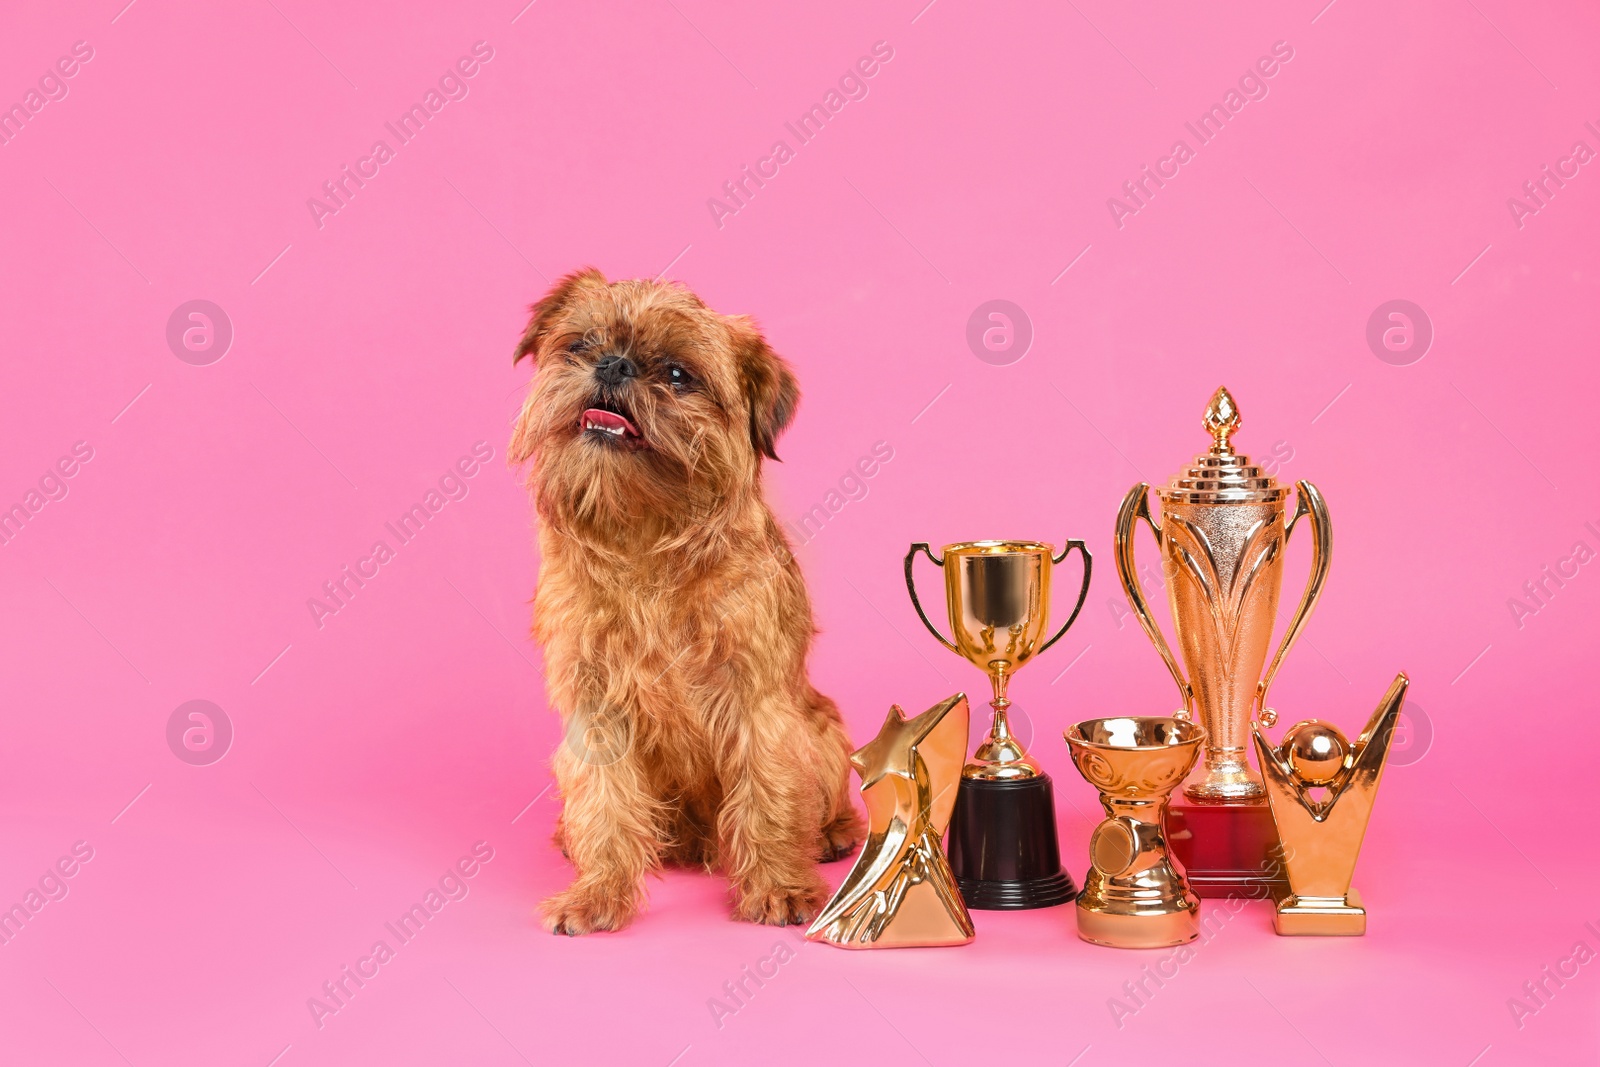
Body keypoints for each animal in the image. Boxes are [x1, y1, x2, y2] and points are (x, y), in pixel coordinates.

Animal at [508, 268, 864, 934]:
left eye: (677, 374)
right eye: (582, 345)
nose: (615, 364)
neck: (645, 536)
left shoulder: (757, 701)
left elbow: (768, 791)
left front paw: (779, 886)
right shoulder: (595, 704)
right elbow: (604, 801)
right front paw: (598, 891)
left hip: (824, 729)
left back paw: (831, 834)